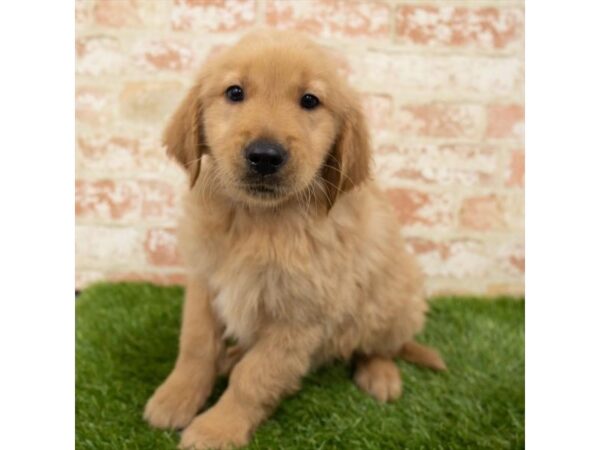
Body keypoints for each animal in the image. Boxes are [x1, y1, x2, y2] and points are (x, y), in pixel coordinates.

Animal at [144, 29, 446, 448]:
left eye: (310, 100)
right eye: (234, 92)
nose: (265, 156)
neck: (258, 220)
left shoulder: (300, 315)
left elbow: (255, 378)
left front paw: (216, 429)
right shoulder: (205, 282)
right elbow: (196, 346)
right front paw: (176, 397)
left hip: (394, 301)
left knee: (377, 347)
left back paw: (380, 375)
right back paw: (231, 357)